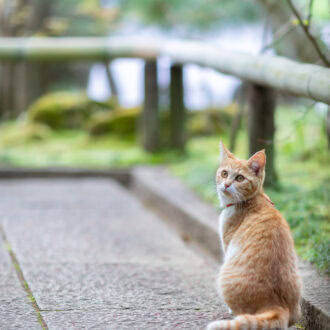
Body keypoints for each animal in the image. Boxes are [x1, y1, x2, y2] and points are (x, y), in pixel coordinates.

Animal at [208, 142, 302, 330]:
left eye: (239, 178)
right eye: (224, 173)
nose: (226, 184)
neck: (249, 200)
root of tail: (277, 305)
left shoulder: (227, 246)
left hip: (224, 272)